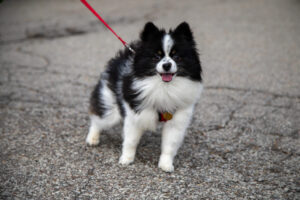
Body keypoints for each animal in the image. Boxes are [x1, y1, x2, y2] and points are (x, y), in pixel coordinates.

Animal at [86, 21, 204, 172]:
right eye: (156, 57)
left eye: (176, 57)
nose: (167, 65)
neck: (163, 87)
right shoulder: (135, 113)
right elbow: (131, 140)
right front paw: (126, 159)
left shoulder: (177, 119)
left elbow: (170, 145)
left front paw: (166, 165)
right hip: (111, 109)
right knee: (98, 119)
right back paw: (92, 139)